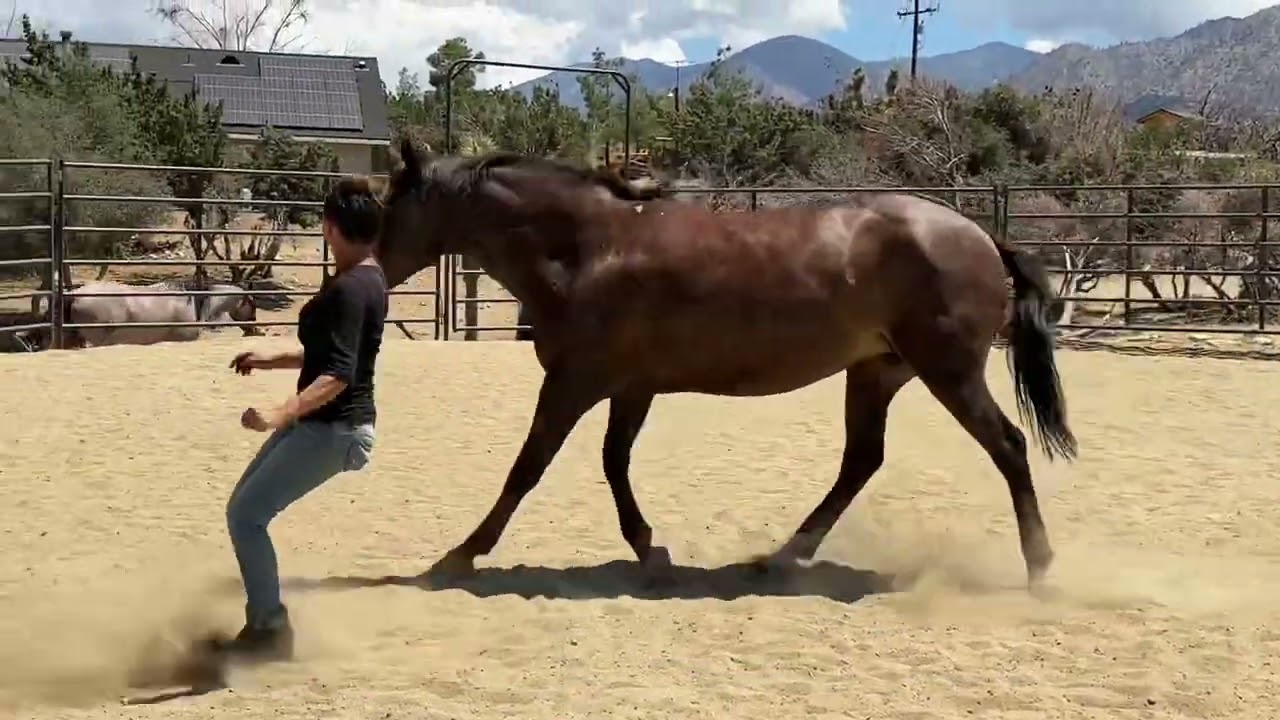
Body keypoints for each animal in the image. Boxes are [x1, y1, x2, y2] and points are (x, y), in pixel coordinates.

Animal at [376, 142, 1078, 588]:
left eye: (389, 206)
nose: (372, 271)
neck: (589, 248)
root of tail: (981, 235)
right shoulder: (630, 387)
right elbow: (612, 463)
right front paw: (651, 552)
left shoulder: (574, 383)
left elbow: (528, 469)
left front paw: (459, 556)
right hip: (877, 371)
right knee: (861, 462)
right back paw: (779, 559)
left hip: (948, 370)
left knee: (1008, 446)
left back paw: (1041, 567)